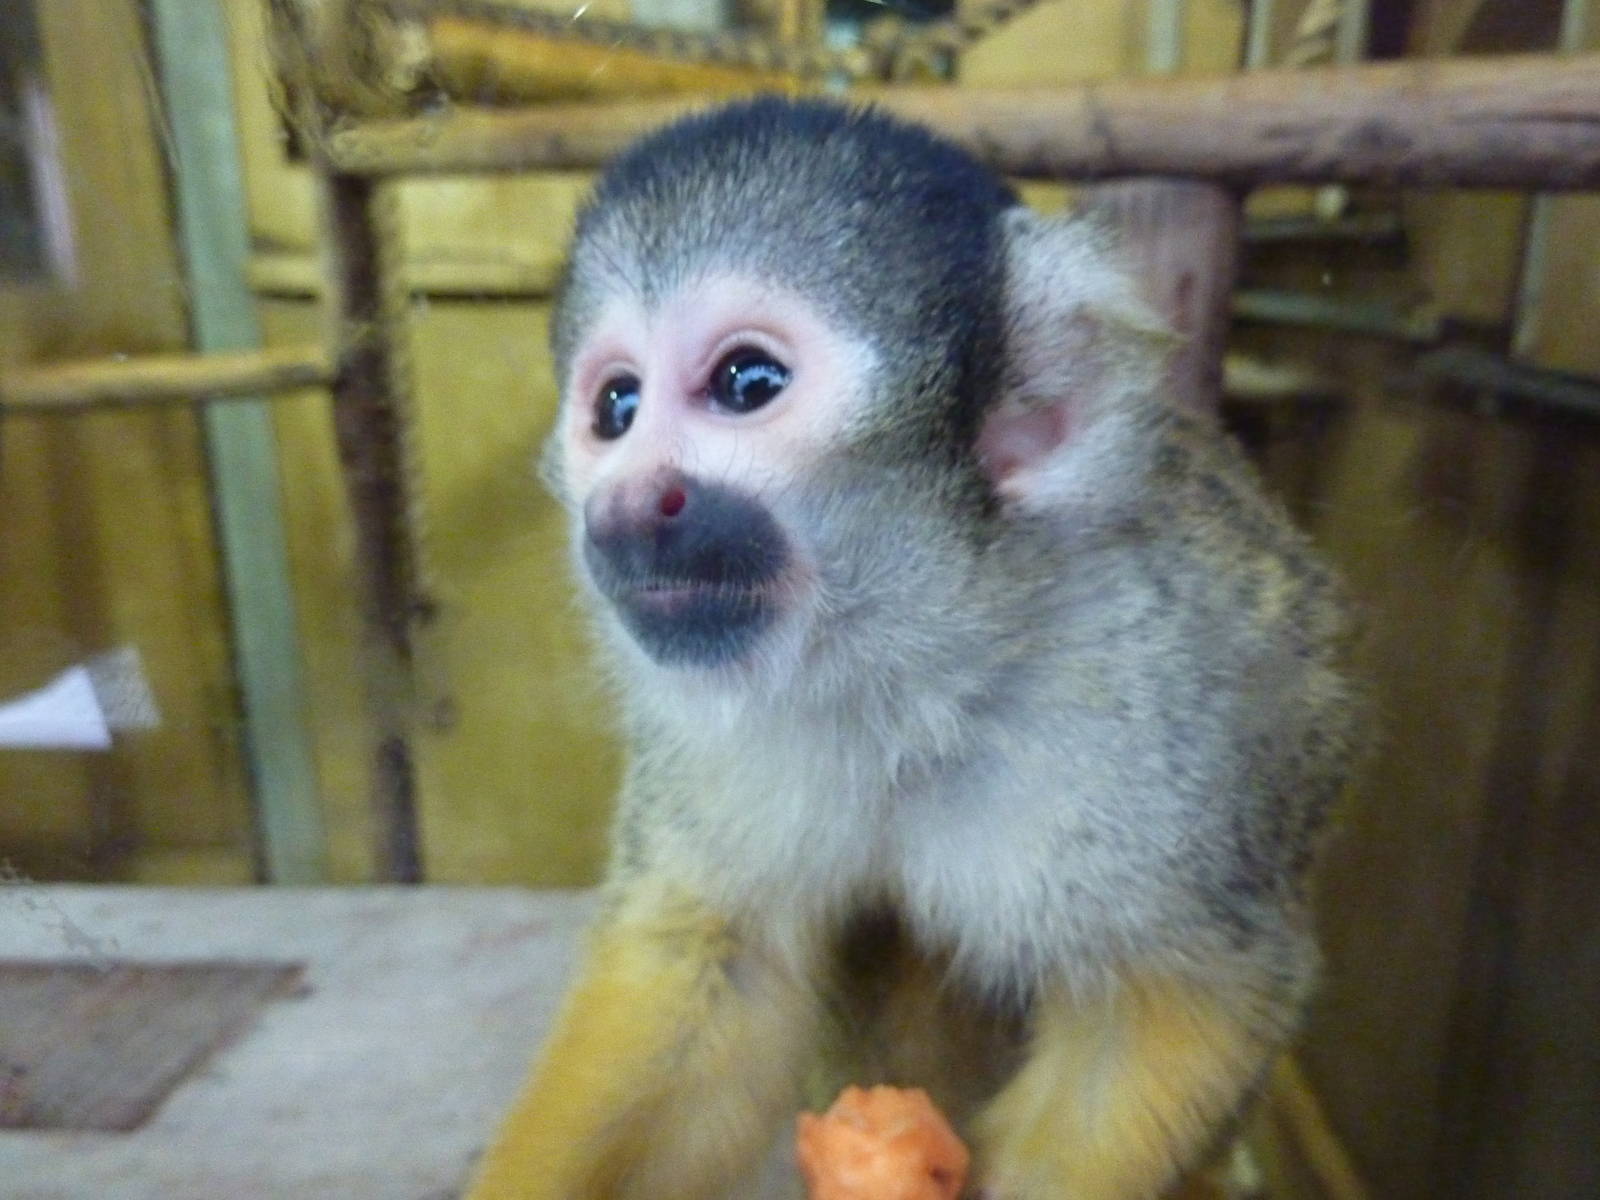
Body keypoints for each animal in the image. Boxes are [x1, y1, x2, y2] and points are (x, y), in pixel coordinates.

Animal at [465, 96, 1362, 1200]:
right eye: (616, 409)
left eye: (745, 382)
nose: (628, 508)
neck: (923, 655)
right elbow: (717, 967)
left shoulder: (1175, 709)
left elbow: (1182, 996)